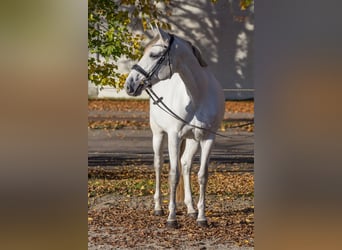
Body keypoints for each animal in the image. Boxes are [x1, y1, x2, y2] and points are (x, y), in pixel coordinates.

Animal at [124, 27, 226, 229]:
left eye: (154, 55)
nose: (129, 85)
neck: (198, 96)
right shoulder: (174, 136)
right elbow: (173, 174)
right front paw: (172, 218)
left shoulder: (208, 138)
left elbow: (202, 175)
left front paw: (202, 217)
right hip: (158, 135)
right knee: (158, 165)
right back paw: (158, 208)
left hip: (193, 140)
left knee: (186, 164)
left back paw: (191, 209)